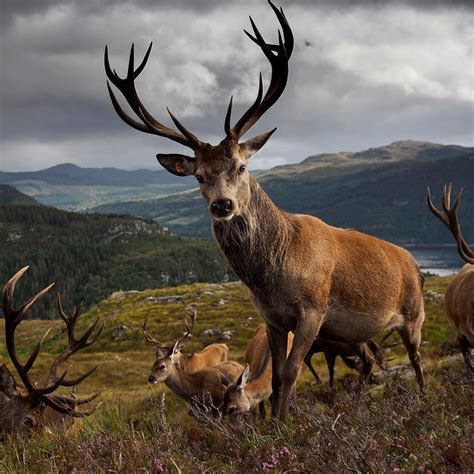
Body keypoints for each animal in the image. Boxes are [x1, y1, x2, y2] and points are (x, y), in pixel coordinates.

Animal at [106, 0, 426, 422]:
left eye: (242, 167)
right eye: (199, 176)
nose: (222, 204)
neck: (271, 277)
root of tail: (413, 261)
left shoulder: (312, 310)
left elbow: (289, 373)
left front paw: (285, 425)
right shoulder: (272, 318)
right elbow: (274, 377)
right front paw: (275, 424)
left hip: (414, 313)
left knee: (417, 357)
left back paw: (426, 398)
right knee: (375, 360)